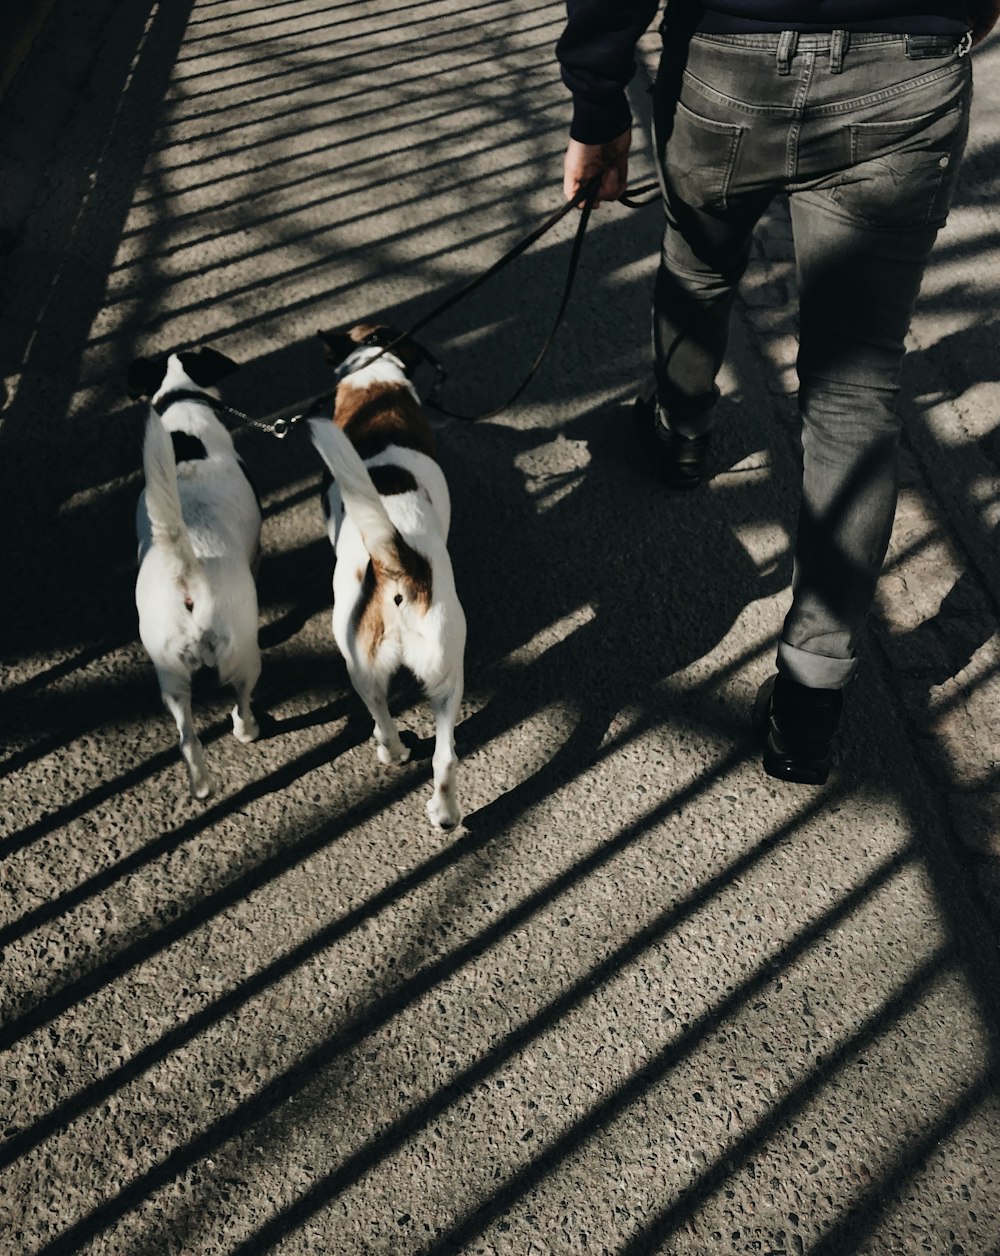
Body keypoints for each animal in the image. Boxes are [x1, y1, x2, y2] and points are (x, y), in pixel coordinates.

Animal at [128, 346, 261, 793]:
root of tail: (186, 565)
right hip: (243, 654)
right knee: (242, 700)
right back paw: (247, 729)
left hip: (168, 672)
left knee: (187, 737)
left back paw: (200, 784)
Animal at [310, 329, 467, 828]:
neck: (373, 376)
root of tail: (396, 563)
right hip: (446, 670)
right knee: (446, 757)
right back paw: (445, 814)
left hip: (359, 665)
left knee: (379, 715)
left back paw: (392, 753)